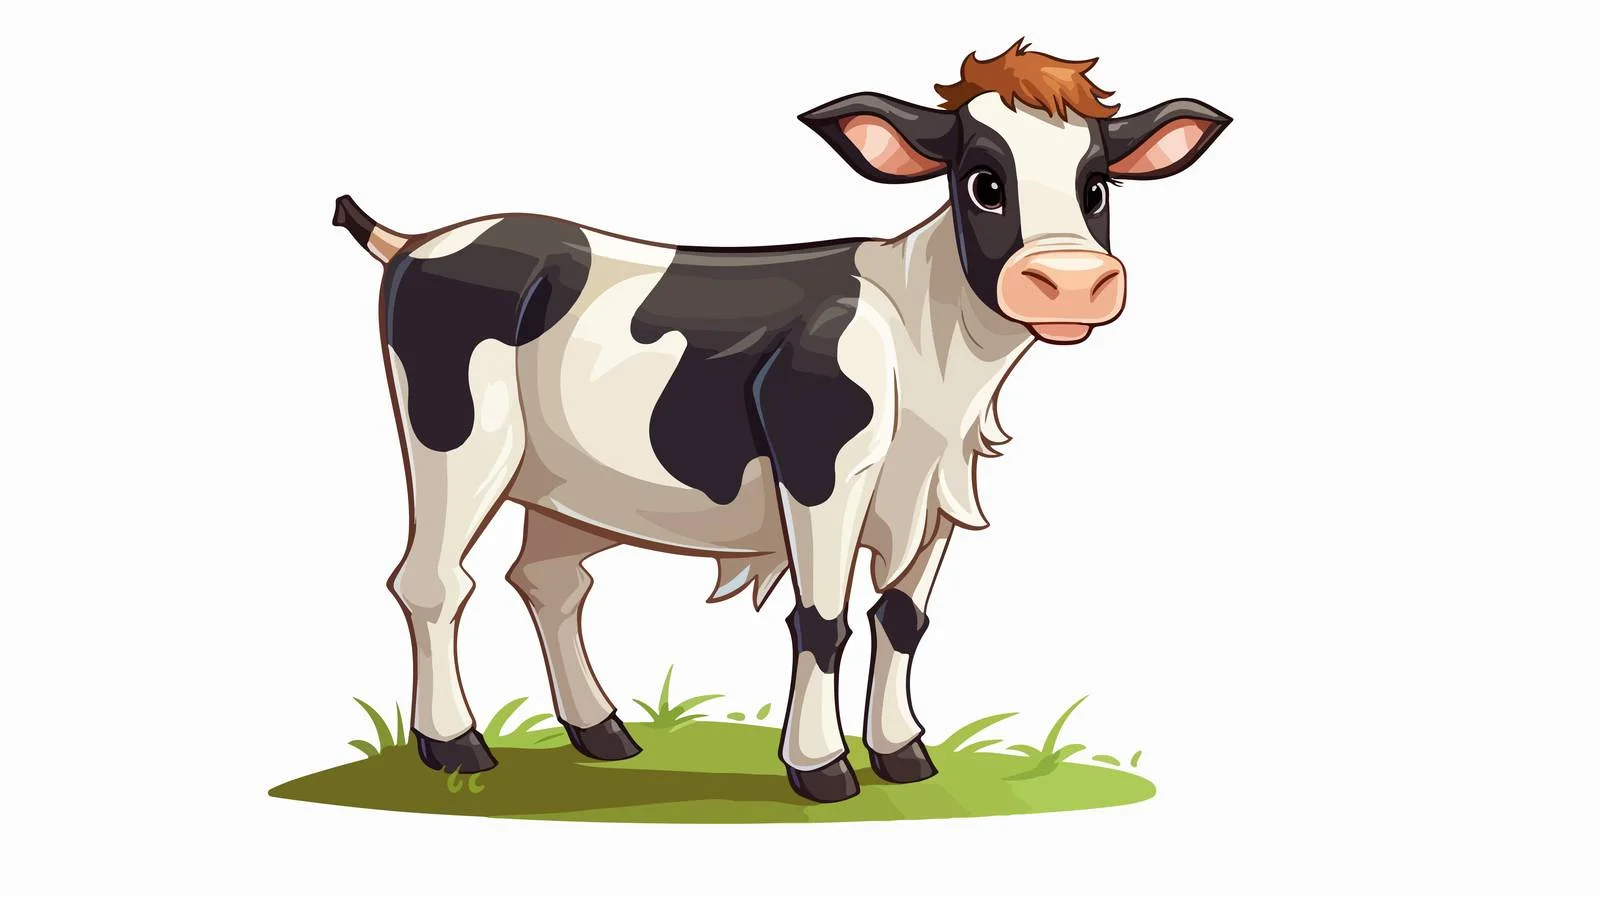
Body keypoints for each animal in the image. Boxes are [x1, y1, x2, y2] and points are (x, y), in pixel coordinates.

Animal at [331, 41, 1228, 803]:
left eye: (1097, 186)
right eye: (982, 181)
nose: (1071, 278)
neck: (933, 355)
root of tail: (422, 238)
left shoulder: (935, 495)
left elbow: (903, 619)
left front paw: (903, 753)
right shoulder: (822, 467)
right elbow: (823, 620)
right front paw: (822, 765)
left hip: (566, 485)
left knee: (550, 583)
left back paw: (602, 729)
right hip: (457, 442)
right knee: (434, 581)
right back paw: (455, 742)